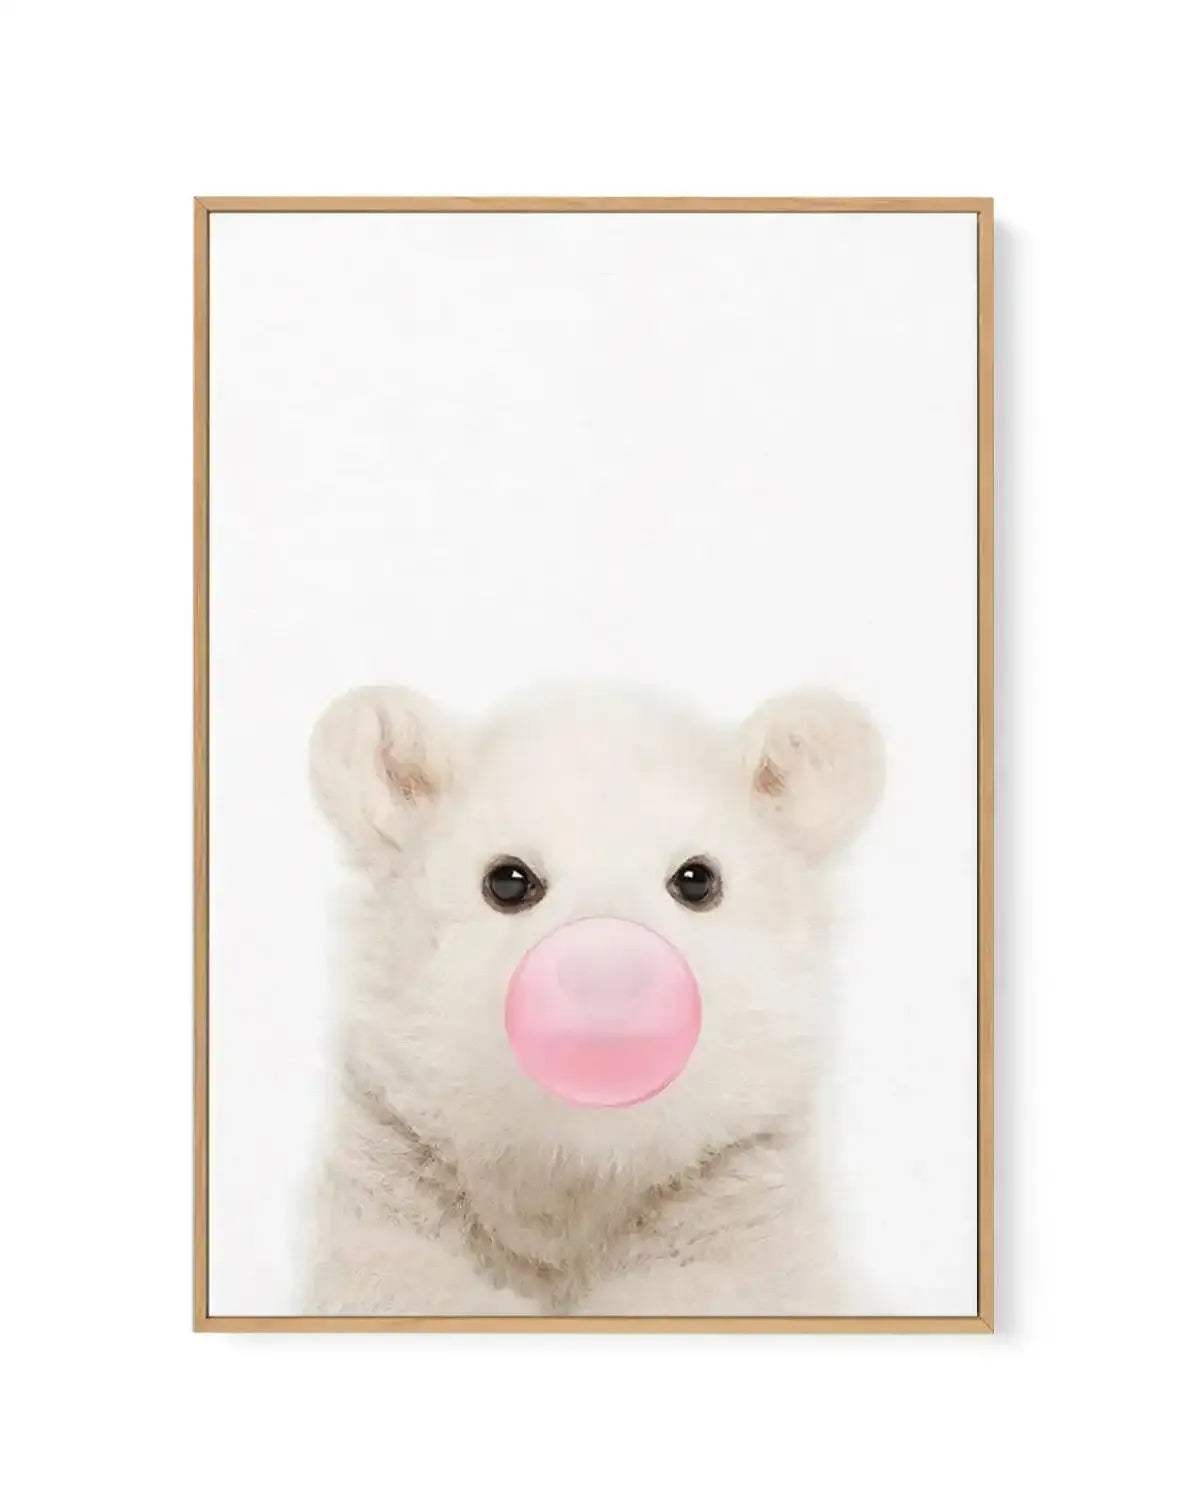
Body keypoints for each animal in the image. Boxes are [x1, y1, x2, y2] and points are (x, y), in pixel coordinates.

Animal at [305, 682, 883, 1316]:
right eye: (507, 879)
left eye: (697, 879)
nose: (608, 986)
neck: (581, 1175)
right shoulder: (402, 1171)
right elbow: (400, 1279)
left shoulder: (736, 1188)